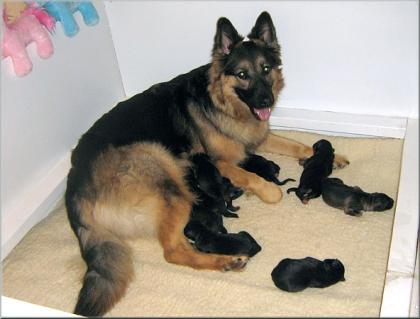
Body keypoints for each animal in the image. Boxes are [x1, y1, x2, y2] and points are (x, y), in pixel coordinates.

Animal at [65, 11, 348, 318]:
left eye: (265, 69)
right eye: (242, 74)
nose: (266, 101)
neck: (221, 100)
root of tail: (74, 186)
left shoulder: (254, 139)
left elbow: (293, 143)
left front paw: (327, 155)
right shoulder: (219, 161)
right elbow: (251, 177)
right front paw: (268, 190)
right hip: (166, 175)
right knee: (173, 251)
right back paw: (224, 261)